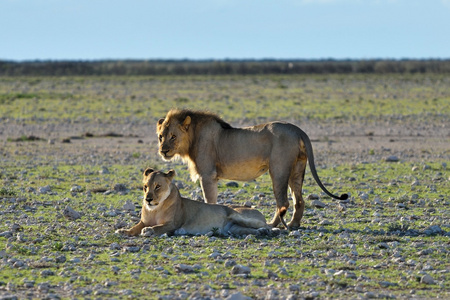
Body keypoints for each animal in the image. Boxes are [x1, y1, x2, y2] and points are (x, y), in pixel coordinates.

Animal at [117, 169, 270, 237]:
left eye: (157, 186)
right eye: (145, 187)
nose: (147, 199)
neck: (155, 209)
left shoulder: (173, 224)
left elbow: (158, 227)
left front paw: (148, 230)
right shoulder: (143, 221)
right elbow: (134, 227)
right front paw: (123, 231)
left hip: (235, 214)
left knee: (267, 225)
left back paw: (269, 230)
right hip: (235, 228)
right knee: (251, 230)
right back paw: (261, 232)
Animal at [156, 109, 350, 229]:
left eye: (173, 136)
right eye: (160, 137)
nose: (163, 151)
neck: (192, 137)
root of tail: (297, 130)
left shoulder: (208, 175)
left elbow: (209, 200)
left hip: (279, 170)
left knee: (283, 202)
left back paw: (272, 225)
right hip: (297, 168)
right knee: (299, 200)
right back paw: (293, 225)